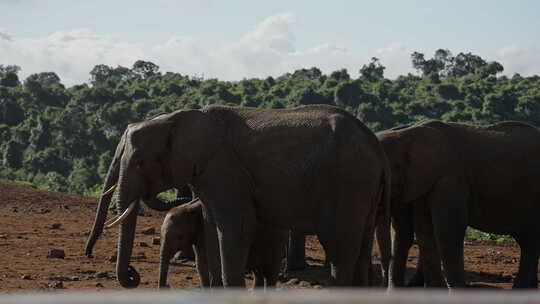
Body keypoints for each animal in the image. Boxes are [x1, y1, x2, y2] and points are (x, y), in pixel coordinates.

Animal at [86, 105, 390, 288]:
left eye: (139, 162)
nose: (133, 275)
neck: (181, 118)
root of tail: (373, 142)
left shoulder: (225, 171)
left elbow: (235, 226)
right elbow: (211, 227)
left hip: (348, 182)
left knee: (341, 248)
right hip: (364, 188)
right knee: (361, 247)